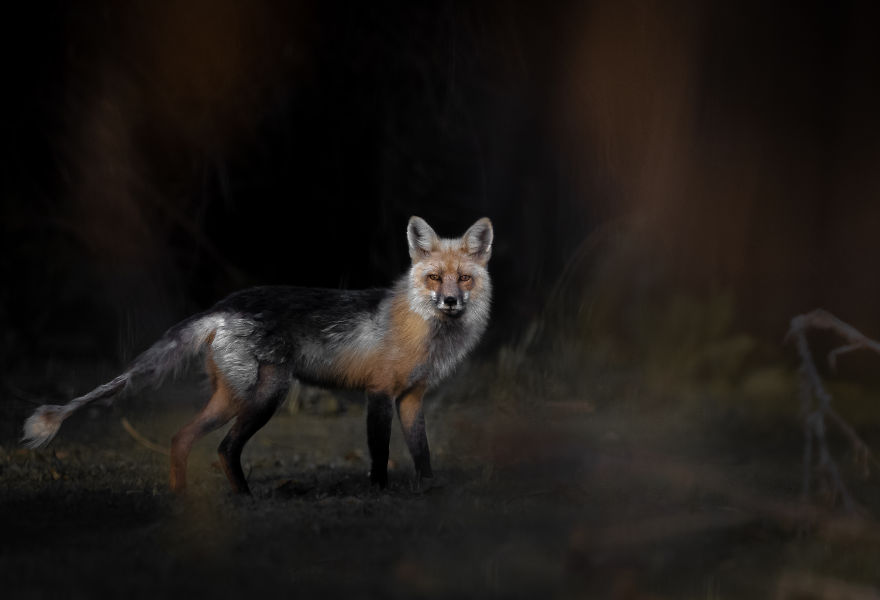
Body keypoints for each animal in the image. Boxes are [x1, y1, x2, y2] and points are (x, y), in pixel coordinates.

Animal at [22, 216, 493, 494]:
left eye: (464, 279)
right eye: (434, 277)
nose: (451, 301)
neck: (425, 332)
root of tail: (222, 306)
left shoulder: (411, 397)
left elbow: (422, 451)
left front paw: (428, 491)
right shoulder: (378, 393)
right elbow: (379, 453)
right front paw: (379, 495)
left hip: (233, 396)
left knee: (182, 438)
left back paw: (184, 500)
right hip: (264, 394)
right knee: (224, 447)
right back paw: (245, 500)